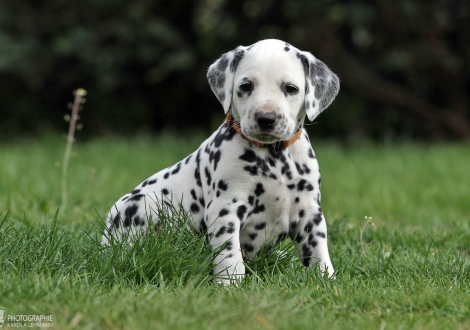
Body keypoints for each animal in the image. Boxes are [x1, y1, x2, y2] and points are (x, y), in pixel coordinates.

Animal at [103, 38, 338, 284]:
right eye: (246, 86)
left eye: (290, 88)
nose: (266, 118)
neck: (274, 157)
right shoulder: (225, 210)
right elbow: (229, 254)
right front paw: (230, 284)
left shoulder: (309, 211)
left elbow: (318, 250)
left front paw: (326, 279)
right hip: (141, 203)